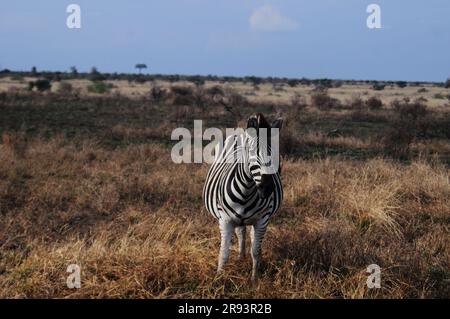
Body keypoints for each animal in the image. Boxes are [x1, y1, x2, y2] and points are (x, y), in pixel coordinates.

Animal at [202, 114, 284, 282]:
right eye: (252, 151)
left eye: (275, 152)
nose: (267, 188)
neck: (247, 191)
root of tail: (240, 133)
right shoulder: (225, 220)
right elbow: (224, 253)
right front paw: (218, 279)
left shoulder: (262, 220)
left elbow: (256, 251)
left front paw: (254, 279)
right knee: (241, 232)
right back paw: (240, 258)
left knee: (248, 234)